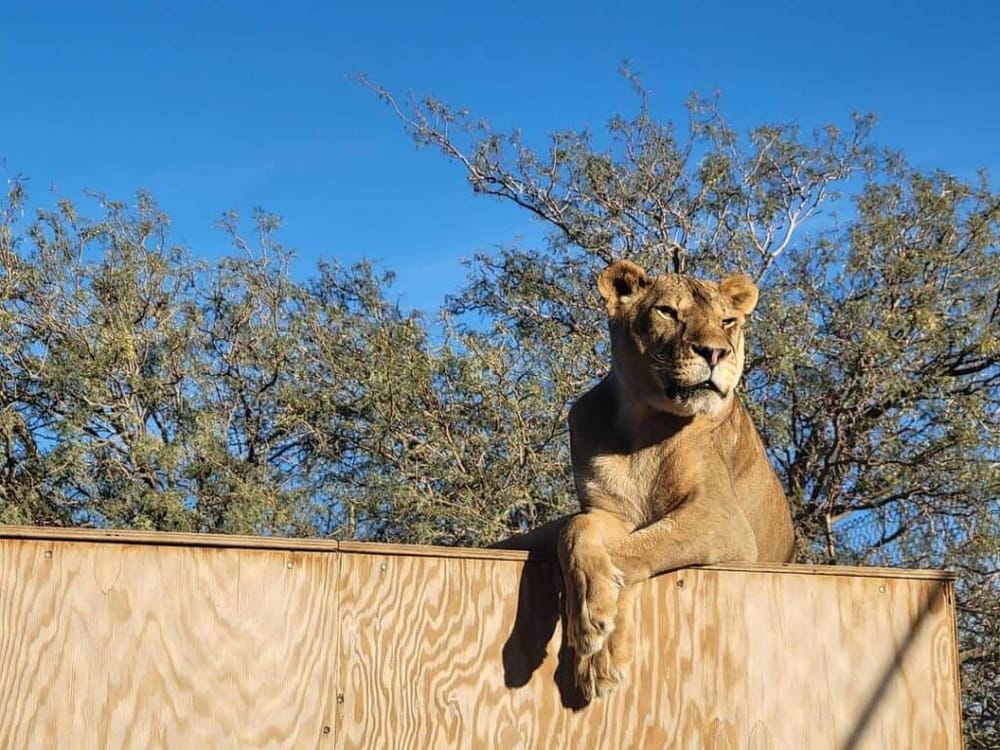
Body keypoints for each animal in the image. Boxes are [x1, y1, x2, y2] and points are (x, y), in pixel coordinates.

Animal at [497, 259, 794, 702]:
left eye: (728, 321)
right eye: (668, 312)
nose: (715, 352)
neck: (644, 425)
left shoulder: (722, 519)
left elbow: (634, 549)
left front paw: (595, 634)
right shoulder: (610, 511)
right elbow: (577, 528)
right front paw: (595, 618)